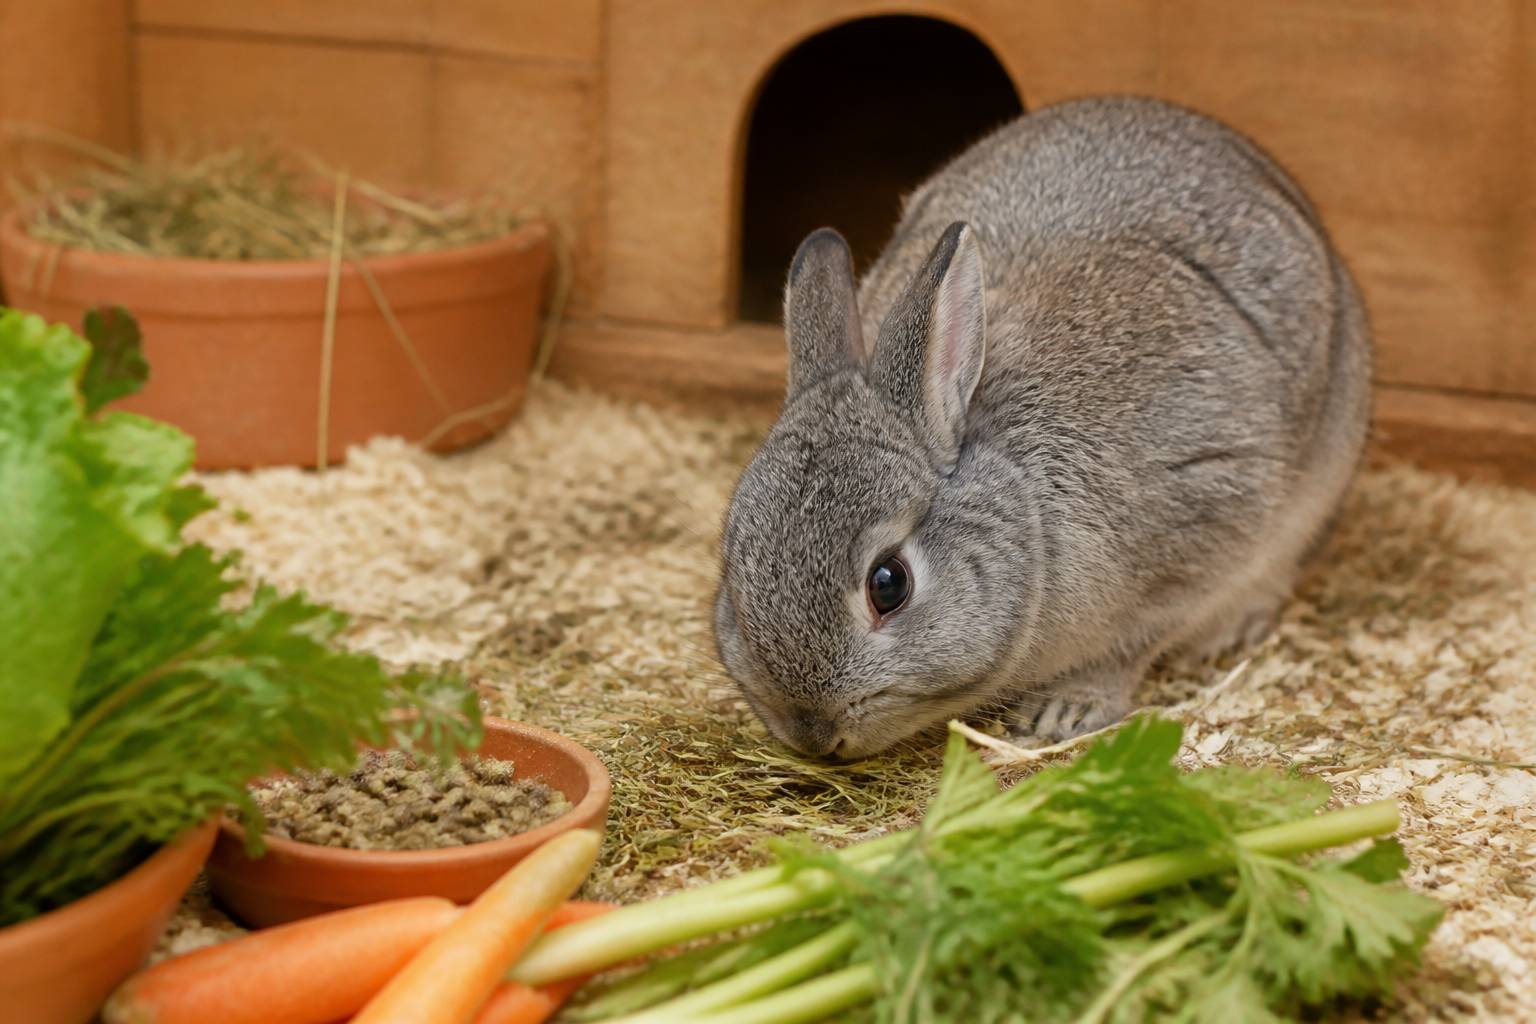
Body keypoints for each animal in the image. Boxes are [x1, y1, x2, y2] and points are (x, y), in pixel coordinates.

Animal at [713, 95, 1371, 759]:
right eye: (733, 570)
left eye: (888, 584)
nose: (812, 731)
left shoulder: (1198, 532)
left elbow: (1134, 645)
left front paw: (1065, 711)